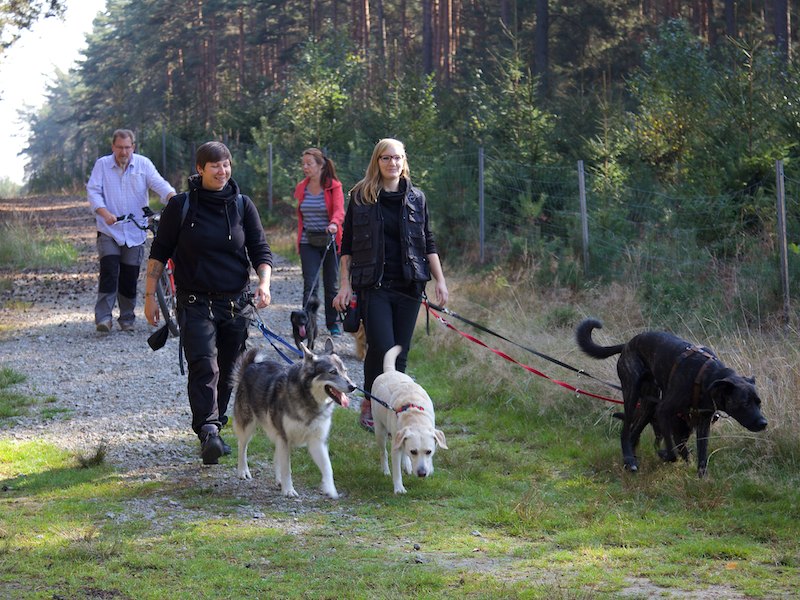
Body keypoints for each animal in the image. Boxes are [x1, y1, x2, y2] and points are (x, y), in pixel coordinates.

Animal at [232, 337, 355, 498]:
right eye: (333, 372)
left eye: (345, 371)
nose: (353, 386)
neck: (309, 399)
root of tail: (251, 365)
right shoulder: (285, 438)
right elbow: (287, 468)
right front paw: (289, 490)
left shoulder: (316, 441)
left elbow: (328, 467)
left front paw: (330, 489)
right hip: (248, 425)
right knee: (242, 446)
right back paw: (243, 471)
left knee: (275, 455)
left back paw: (278, 480)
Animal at [371, 345, 448, 494]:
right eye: (414, 452)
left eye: (428, 451)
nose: (422, 473)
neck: (415, 417)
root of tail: (390, 371)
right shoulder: (395, 446)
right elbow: (396, 470)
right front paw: (399, 488)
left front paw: (429, 467)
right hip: (380, 430)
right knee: (383, 452)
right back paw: (385, 470)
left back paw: (407, 465)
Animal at [576, 318, 767, 477]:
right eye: (744, 403)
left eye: (759, 403)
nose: (764, 423)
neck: (707, 377)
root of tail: (628, 344)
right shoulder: (664, 412)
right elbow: (673, 451)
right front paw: (665, 455)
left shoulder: (703, 422)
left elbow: (702, 454)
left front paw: (703, 479)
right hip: (632, 393)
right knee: (625, 431)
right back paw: (629, 459)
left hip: (649, 403)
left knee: (634, 432)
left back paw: (630, 460)